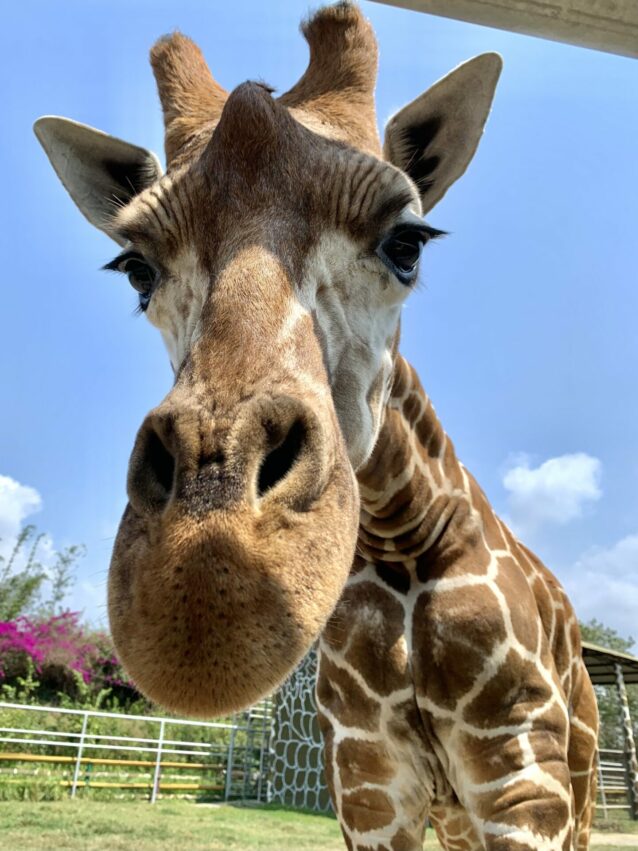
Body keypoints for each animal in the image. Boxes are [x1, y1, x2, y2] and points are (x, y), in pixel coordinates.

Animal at [35, 3, 604, 848]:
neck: (403, 537)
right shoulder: (366, 779)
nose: (205, 580)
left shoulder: (521, 770)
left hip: (580, 785)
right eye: (136, 268)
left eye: (408, 241)